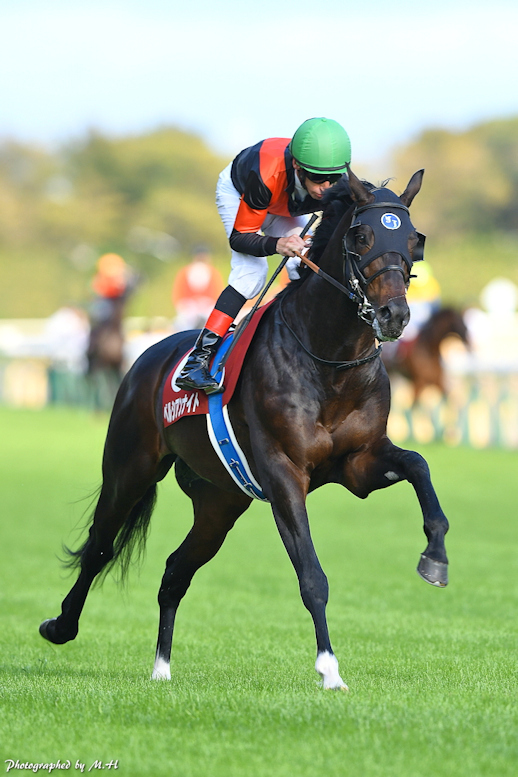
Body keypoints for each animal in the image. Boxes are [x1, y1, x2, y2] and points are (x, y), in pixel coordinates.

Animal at [39, 167, 450, 688]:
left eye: (415, 240)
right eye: (363, 236)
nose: (394, 315)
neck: (330, 361)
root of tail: (147, 357)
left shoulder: (358, 463)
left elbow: (418, 465)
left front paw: (435, 557)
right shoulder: (283, 471)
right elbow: (312, 575)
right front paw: (329, 668)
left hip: (220, 500)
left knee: (175, 572)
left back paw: (162, 668)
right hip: (130, 469)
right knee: (98, 547)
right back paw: (60, 626)